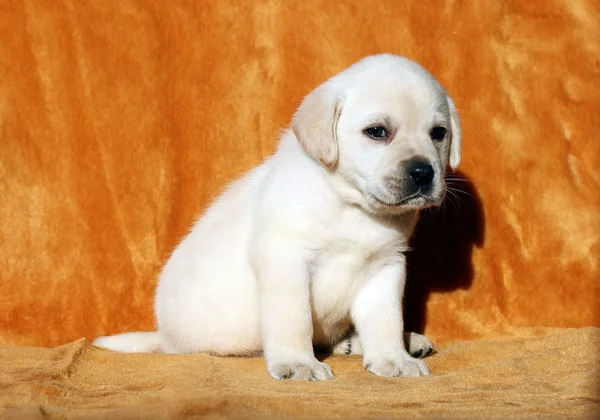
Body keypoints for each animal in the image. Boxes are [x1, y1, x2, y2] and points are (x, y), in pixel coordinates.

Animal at [94, 53, 462, 380]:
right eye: (377, 131)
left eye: (438, 133)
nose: (423, 172)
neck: (351, 205)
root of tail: (166, 340)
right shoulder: (286, 258)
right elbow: (293, 320)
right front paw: (298, 363)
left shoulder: (385, 267)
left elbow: (386, 321)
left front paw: (393, 357)